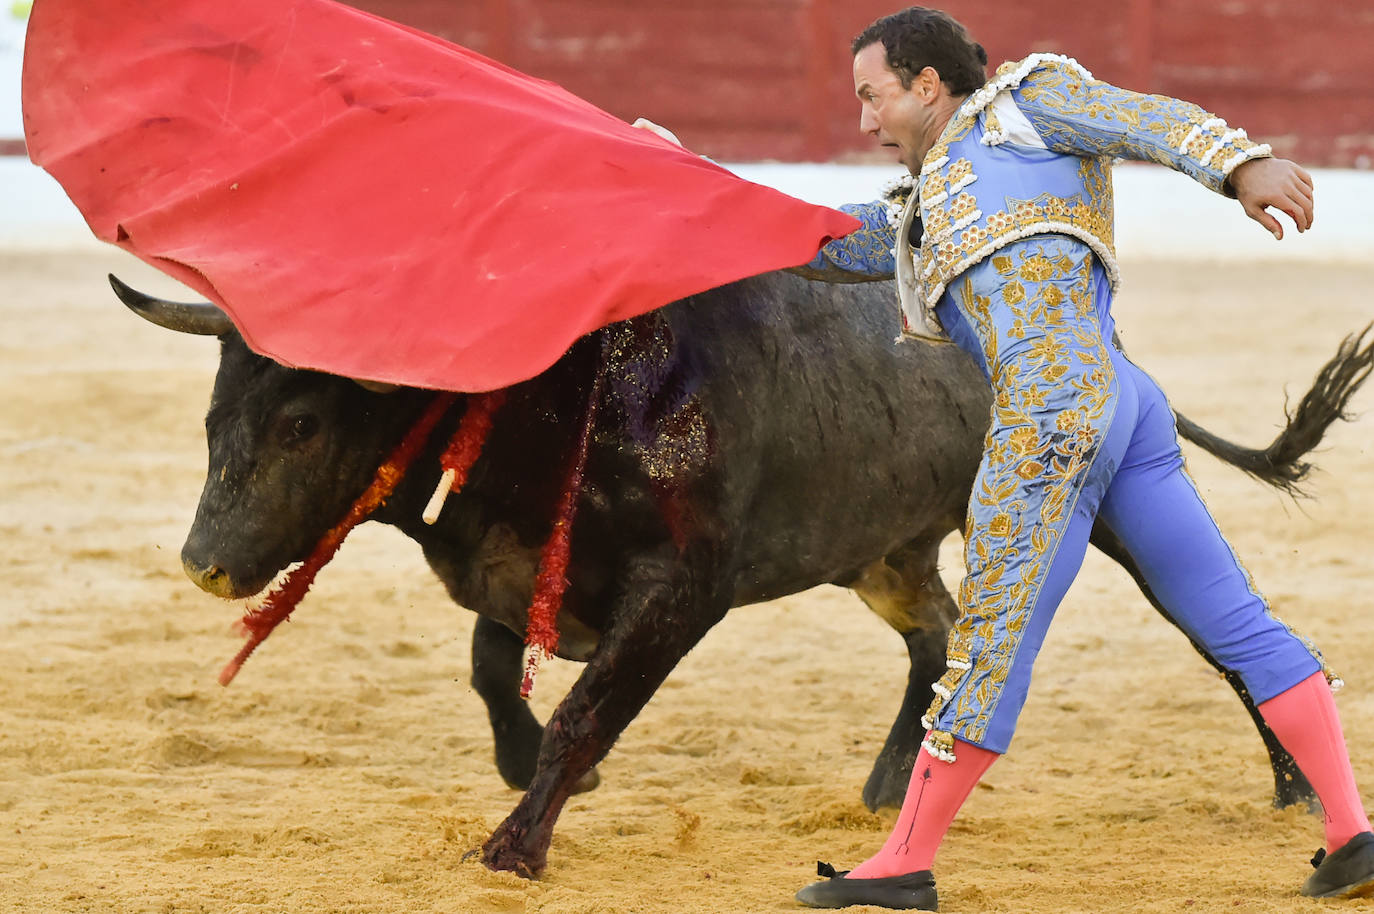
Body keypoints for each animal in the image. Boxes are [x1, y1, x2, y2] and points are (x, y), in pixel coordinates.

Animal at [112, 269, 1368, 879]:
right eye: (218, 412)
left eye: (304, 420)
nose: (205, 564)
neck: (560, 394)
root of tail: (1104, 350)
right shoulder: (509, 570)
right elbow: (493, 672)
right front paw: (534, 775)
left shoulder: (686, 587)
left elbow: (586, 708)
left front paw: (519, 842)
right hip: (883, 551)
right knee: (936, 631)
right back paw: (886, 782)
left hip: (1111, 512)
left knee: (1226, 638)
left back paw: (1292, 790)